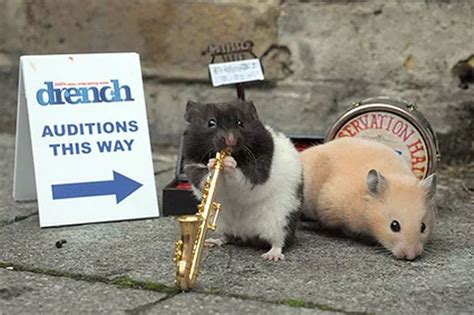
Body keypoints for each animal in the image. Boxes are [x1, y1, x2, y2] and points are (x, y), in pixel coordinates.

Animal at [181, 100, 304, 262]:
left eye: (240, 123)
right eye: (211, 123)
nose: (231, 141)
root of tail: (248, 235)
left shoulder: (259, 168)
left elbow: (242, 177)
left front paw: (229, 163)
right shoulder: (192, 166)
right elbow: (202, 177)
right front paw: (213, 163)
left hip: (281, 219)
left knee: (279, 241)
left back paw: (272, 256)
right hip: (223, 222)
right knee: (228, 237)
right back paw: (211, 241)